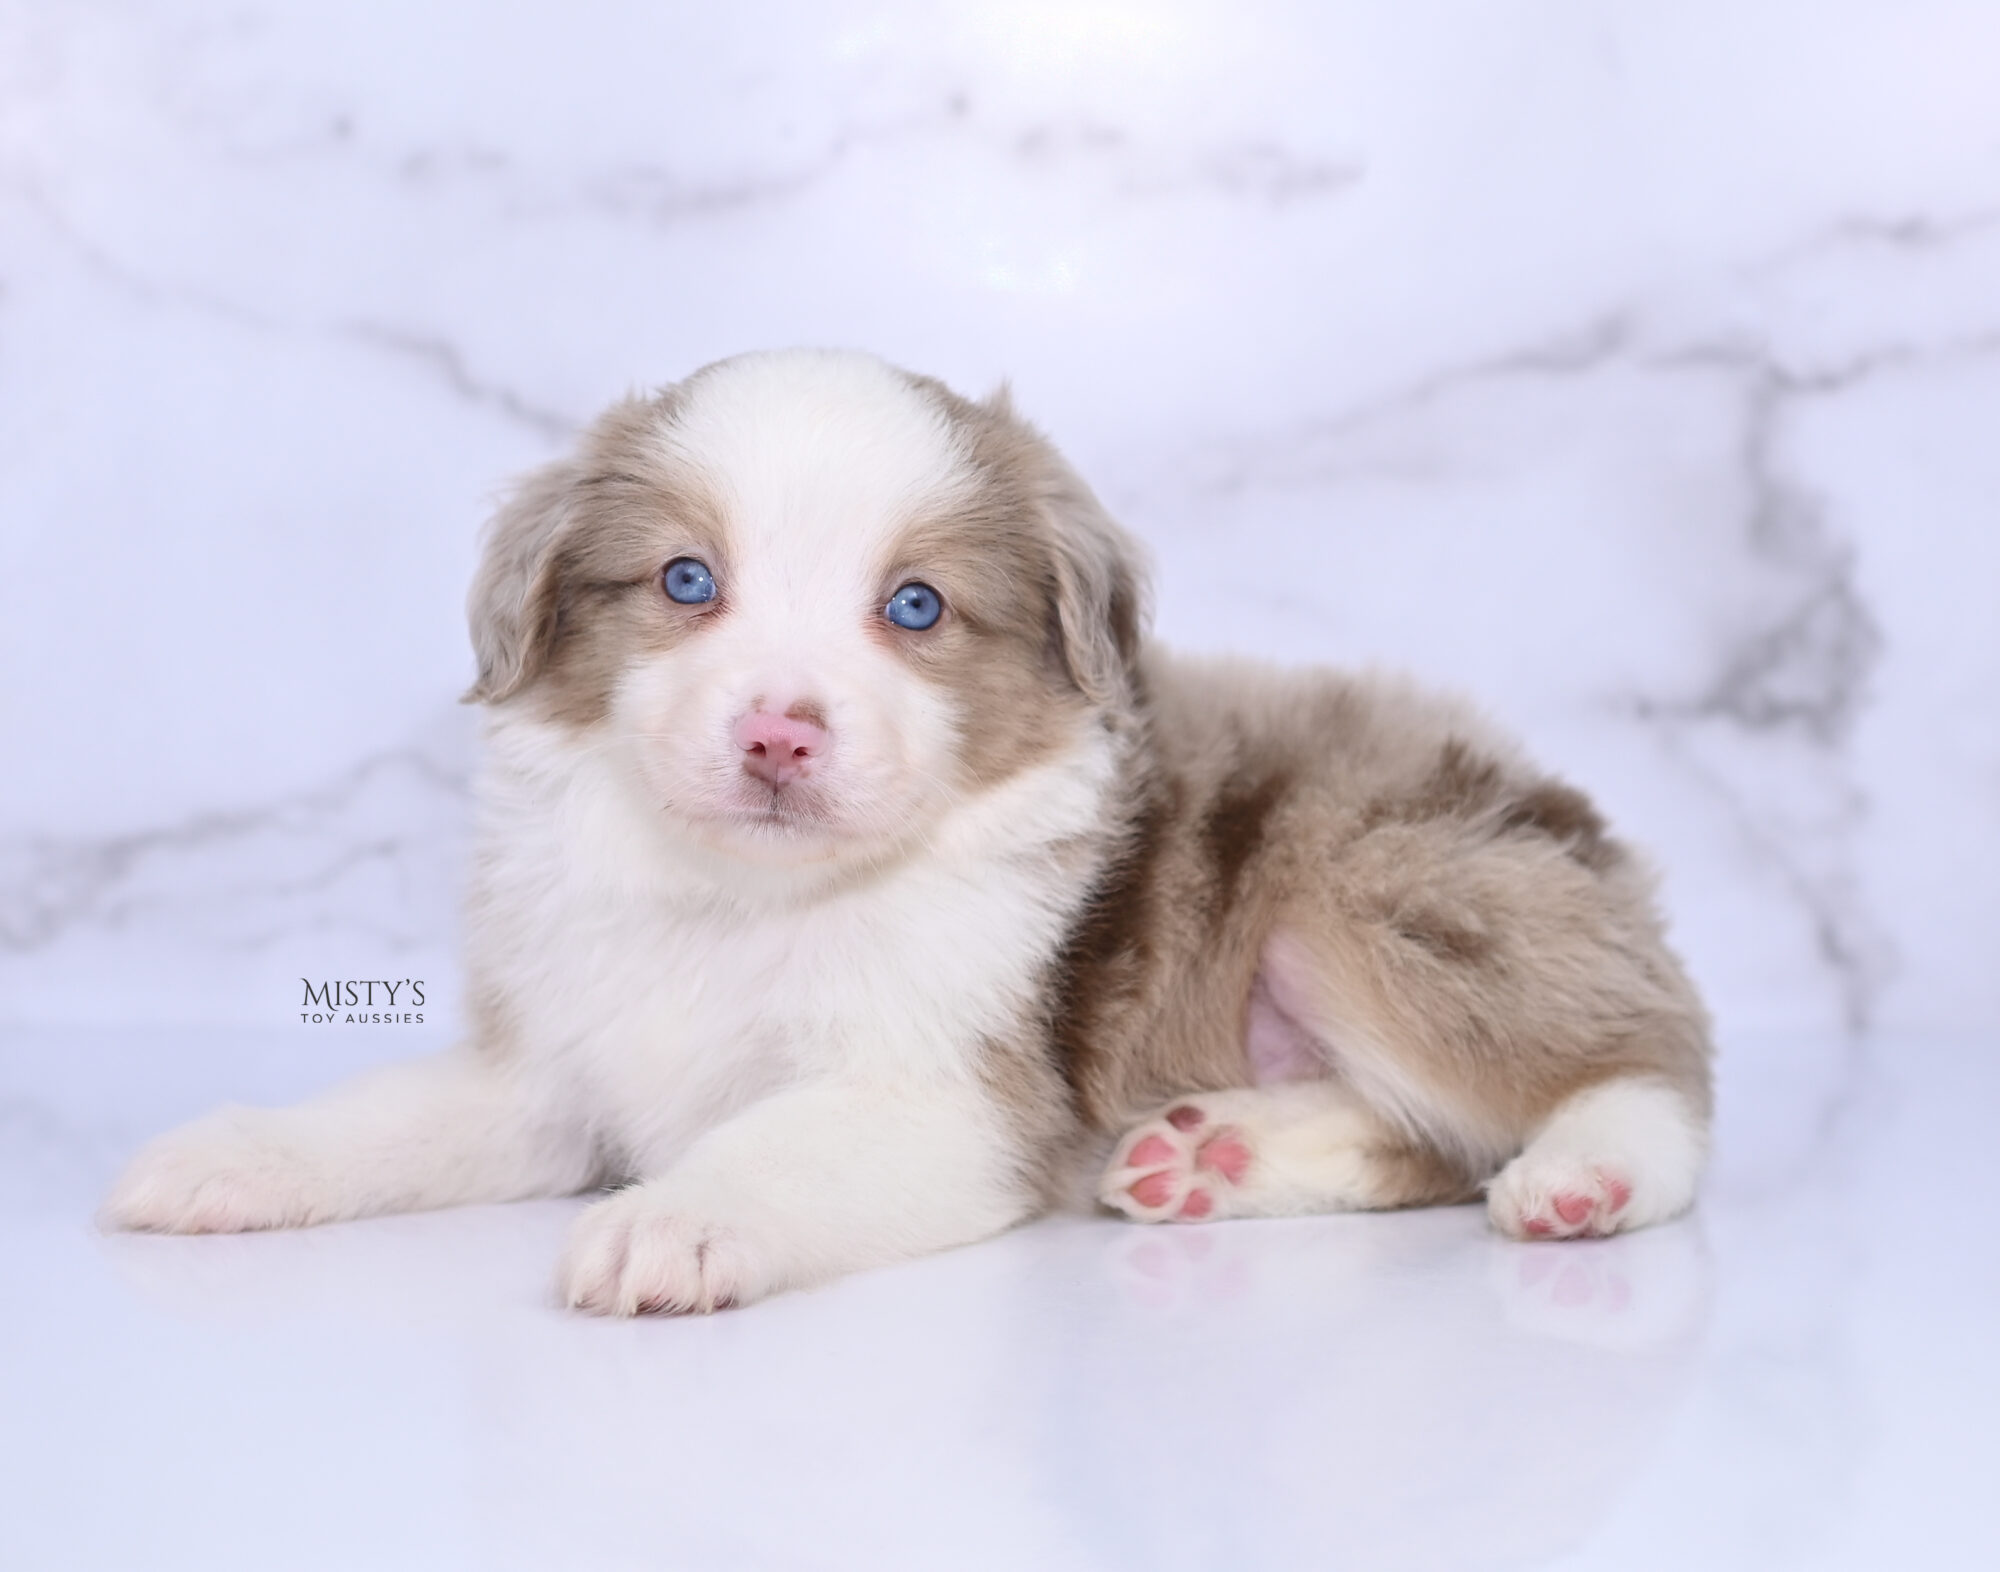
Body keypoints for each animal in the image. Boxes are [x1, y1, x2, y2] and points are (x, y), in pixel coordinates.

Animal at [101, 350, 1712, 1304]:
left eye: (917, 606)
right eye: (686, 582)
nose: (779, 732)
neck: (746, 901)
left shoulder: (951, 1099)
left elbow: (774, 1151)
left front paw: (669, 1223)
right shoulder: (558, 1068)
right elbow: (389, 1117)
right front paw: (230, 1159)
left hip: (1378, 884)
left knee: (1635, 1071)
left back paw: (1585, 1175)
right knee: (1431, 1138)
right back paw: (1212, 1160)